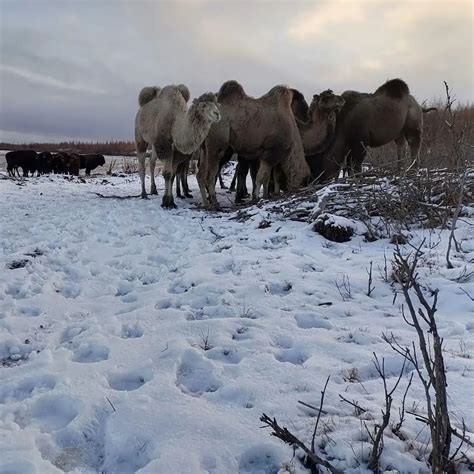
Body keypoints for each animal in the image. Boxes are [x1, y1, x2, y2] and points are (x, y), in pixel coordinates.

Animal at [198, 80, 310, 208]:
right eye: (304, 181)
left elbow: (266, 177)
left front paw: (266, 195)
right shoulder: (271, 152)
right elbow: (261, 177)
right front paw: (256, 197)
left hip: (203, 148)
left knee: (200, 175)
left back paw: (206, 203)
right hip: (216, 145)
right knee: (210, 174)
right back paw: (215, 201)